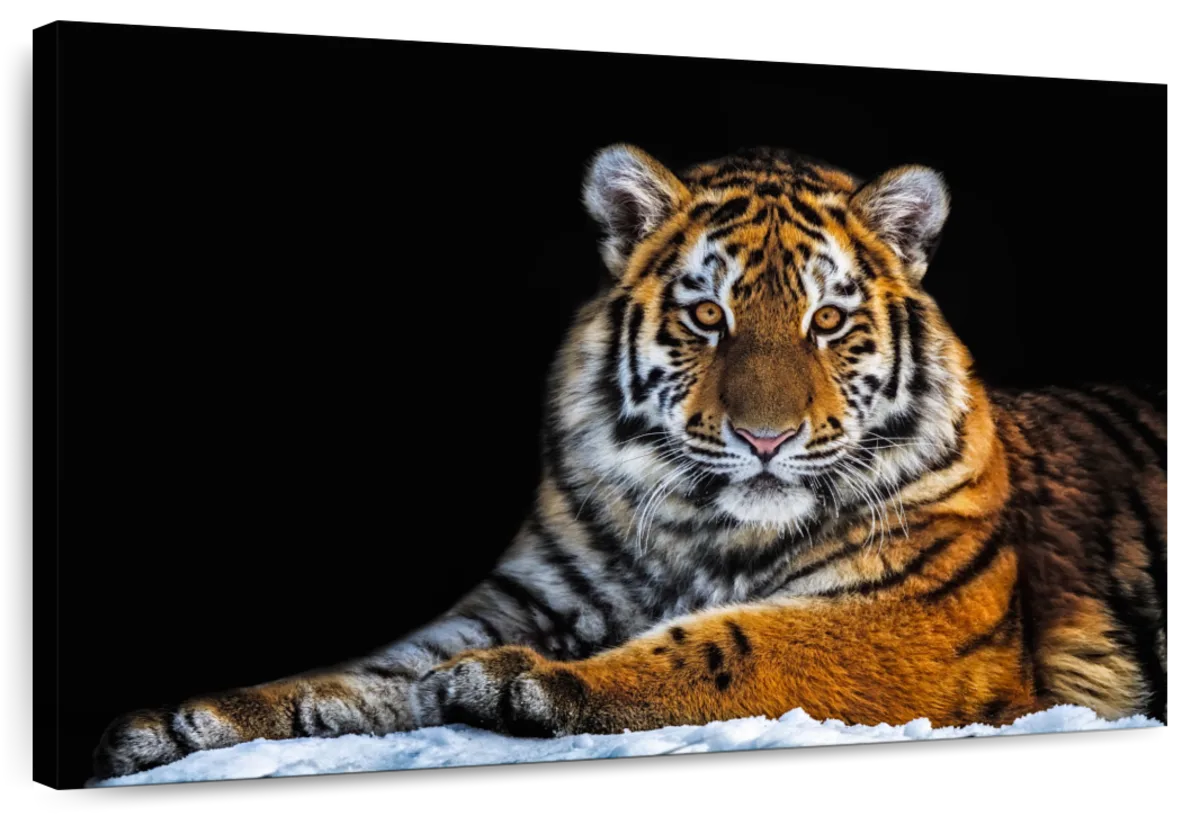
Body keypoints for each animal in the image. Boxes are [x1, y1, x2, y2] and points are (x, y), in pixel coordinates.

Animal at [93, 144, 1168, 780]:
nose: (766, 439)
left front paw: (520, 687)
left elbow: (734, 646)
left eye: (827, 323)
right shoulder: (523, 597)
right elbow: (372, 674)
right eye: (708, 315)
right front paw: (188, 721)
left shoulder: (909, 618)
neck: (706, 528)